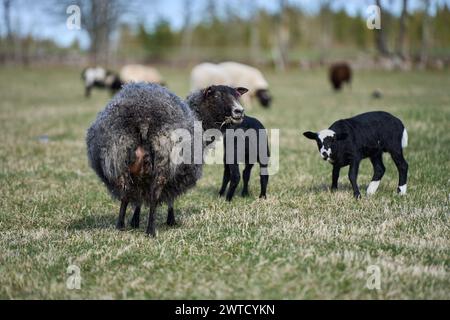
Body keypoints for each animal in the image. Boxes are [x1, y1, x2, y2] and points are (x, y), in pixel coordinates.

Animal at [86, 83, 248, 238]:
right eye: (217, 95)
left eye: (237, 95)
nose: (239, 111)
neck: (197, 118)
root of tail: (143, 116)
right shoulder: (177, 171)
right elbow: (170, 197)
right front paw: (171, 220)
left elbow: (139, 198)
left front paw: (135, 221)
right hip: (164, 159)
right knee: (154, 195)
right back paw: (150, 231)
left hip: (118, 156)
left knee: (125, 194)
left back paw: (120, 226)